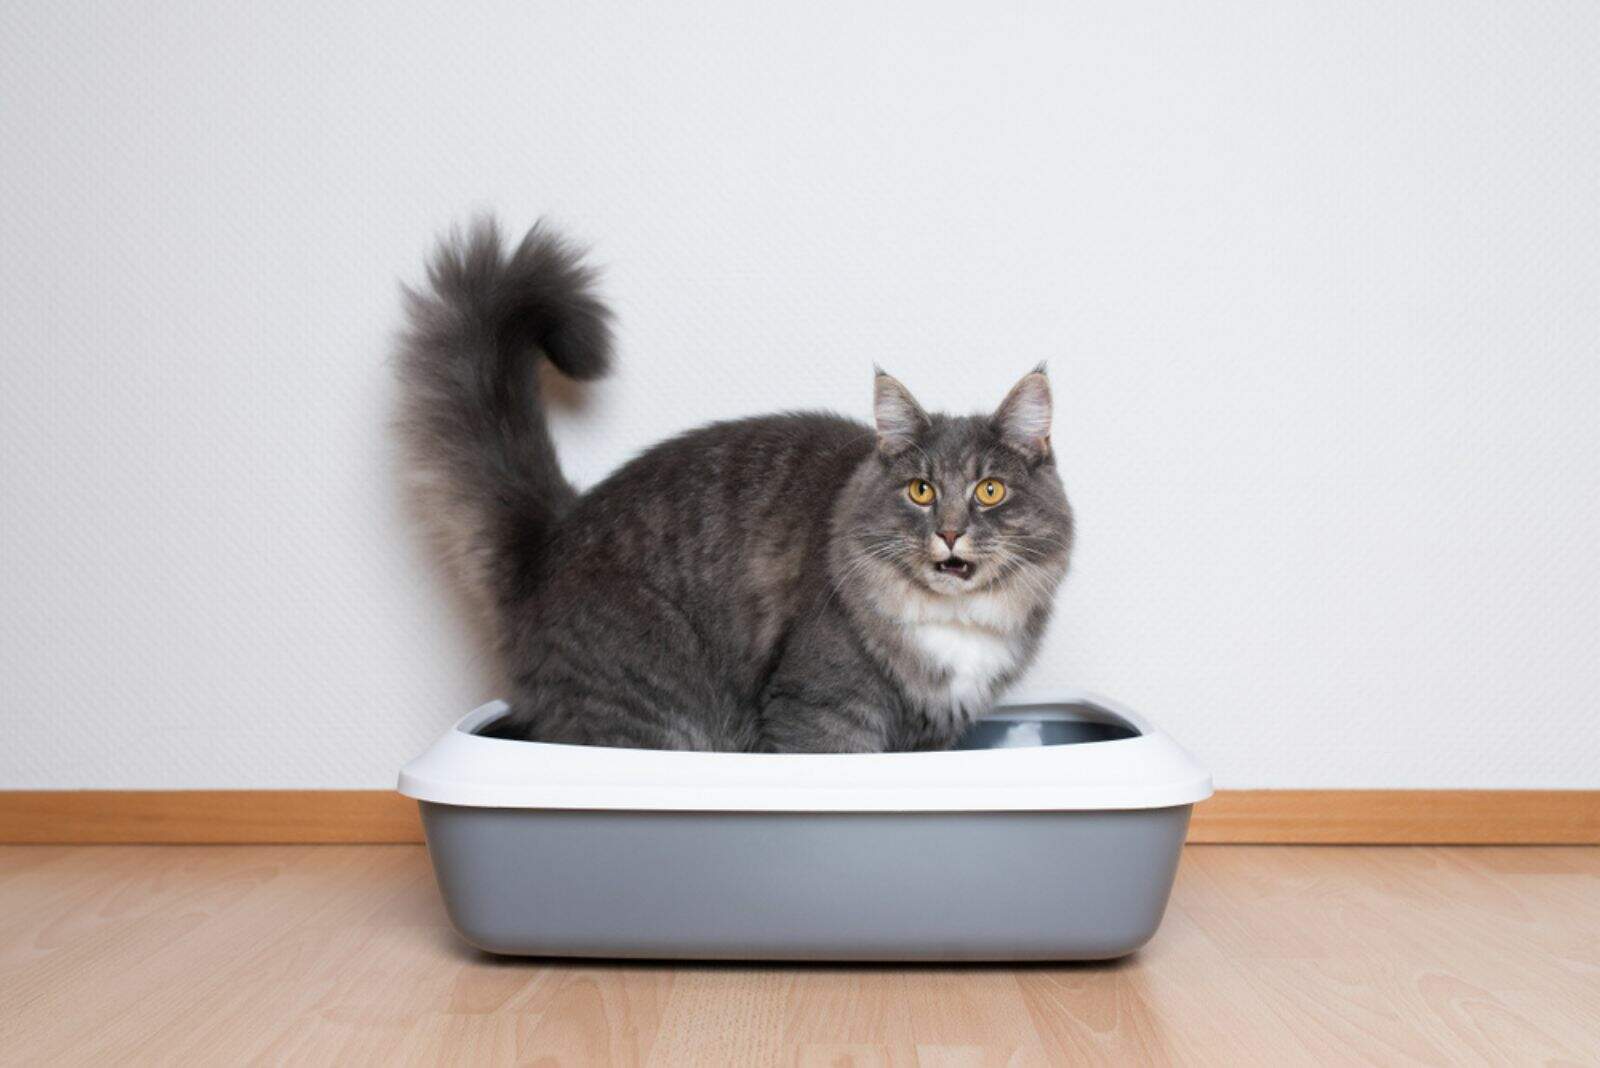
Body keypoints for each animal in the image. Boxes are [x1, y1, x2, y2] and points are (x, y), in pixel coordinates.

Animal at [398, 219, 1075, 751]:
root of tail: (547, 539)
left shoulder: (933, 734)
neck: (953, 625)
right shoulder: (822, 710)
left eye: (990, 491)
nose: (951, 533)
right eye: (921, 491)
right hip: (644, 706)